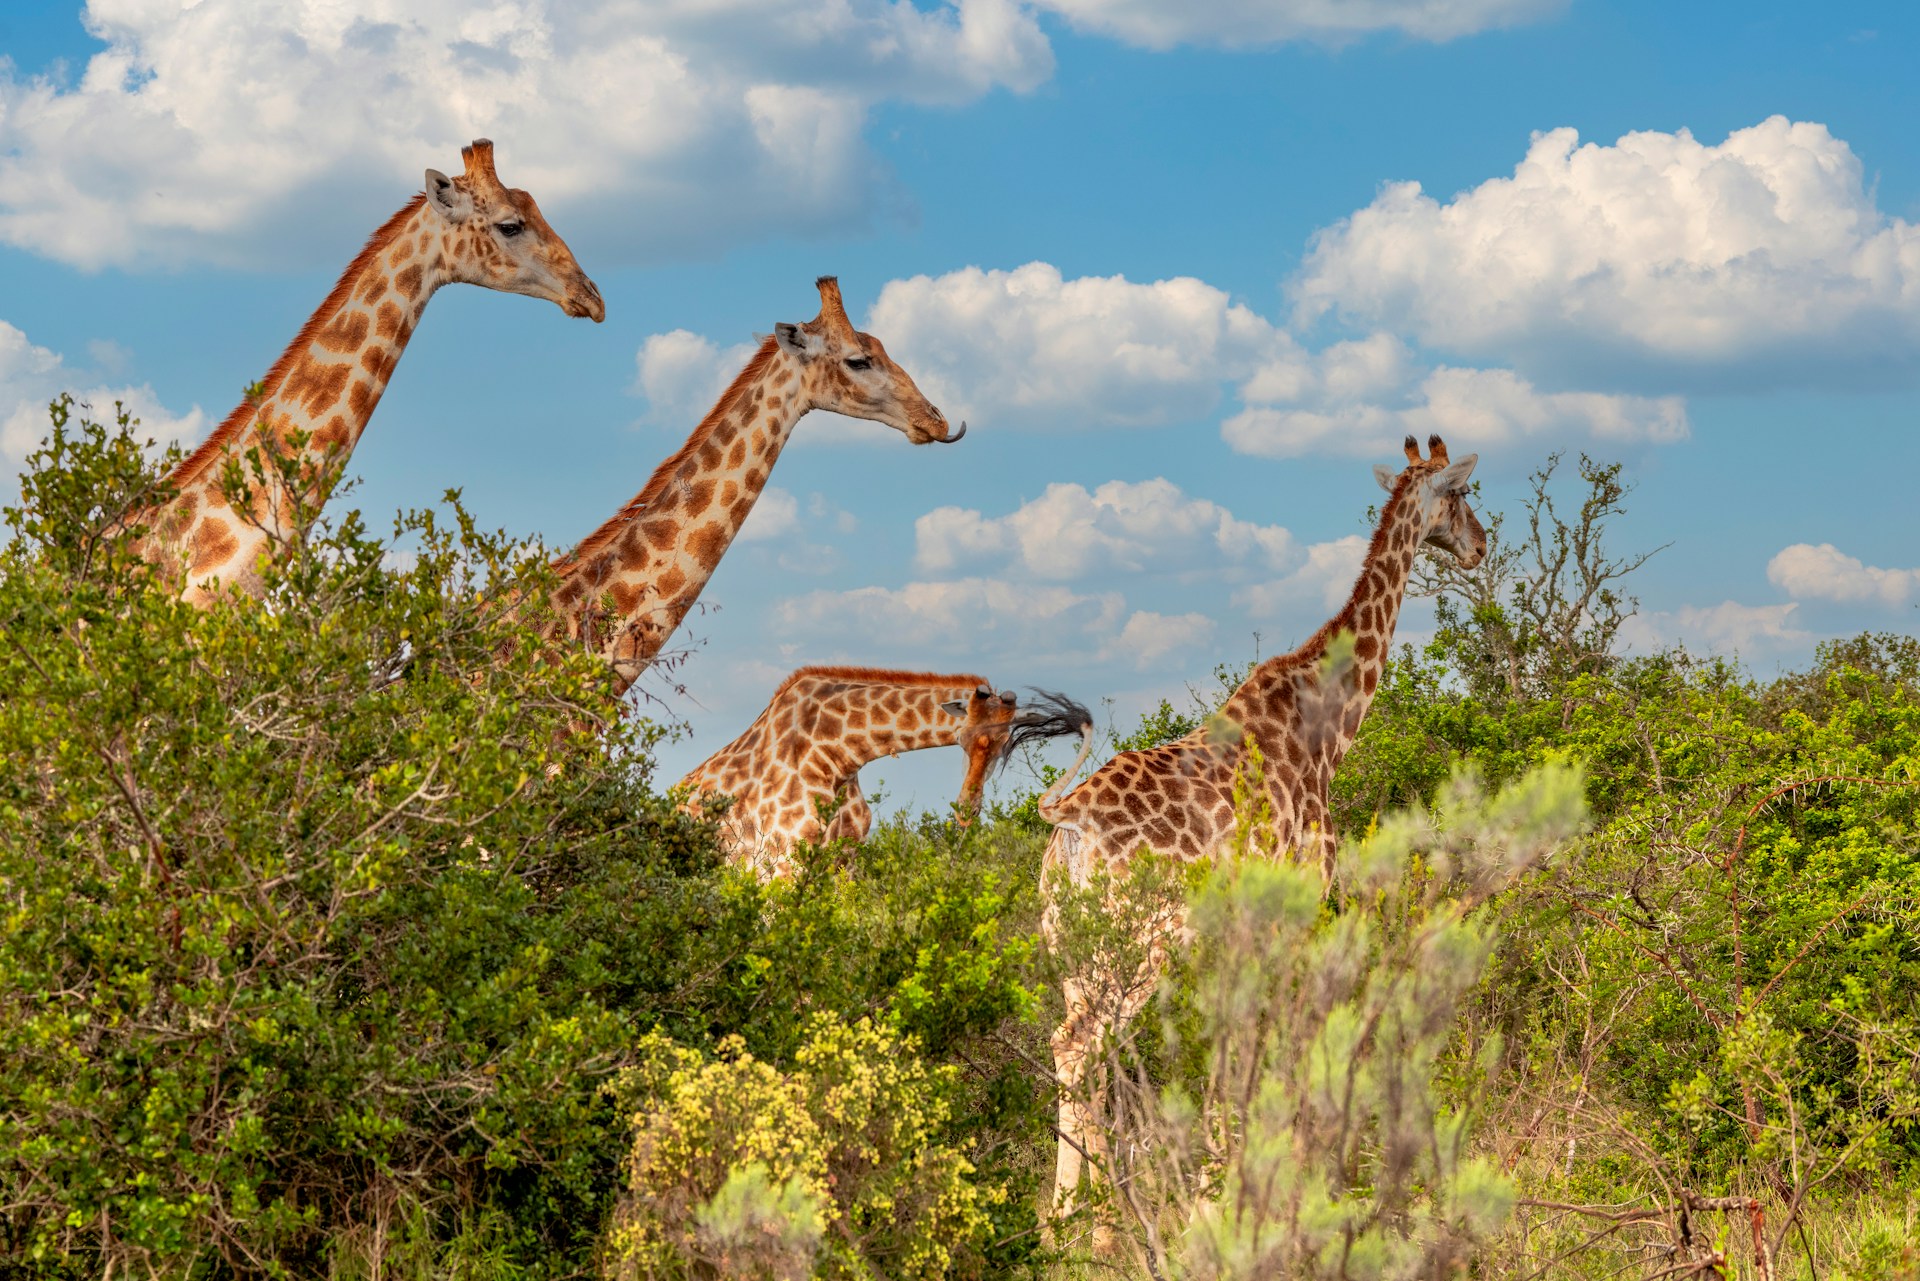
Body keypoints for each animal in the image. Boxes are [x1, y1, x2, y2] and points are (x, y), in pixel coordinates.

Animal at [676, 668, 1090, 878]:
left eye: (1006, 742)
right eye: (963, 737)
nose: (966, 808)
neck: (838, 753)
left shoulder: (844, 859)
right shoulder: (783, 859)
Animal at [1037, 433, 1486, 1209]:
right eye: (1461, 494)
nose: (1481, 547)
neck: (1328, 726)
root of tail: (1068, 825)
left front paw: (1220, 1182)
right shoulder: (1304, 897)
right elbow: (1286, 1040)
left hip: (1070, 952)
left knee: (1072, 1052)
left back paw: (1059, 1219)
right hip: (1138, 946)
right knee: (1083, 1045)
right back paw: (1093, 1221)